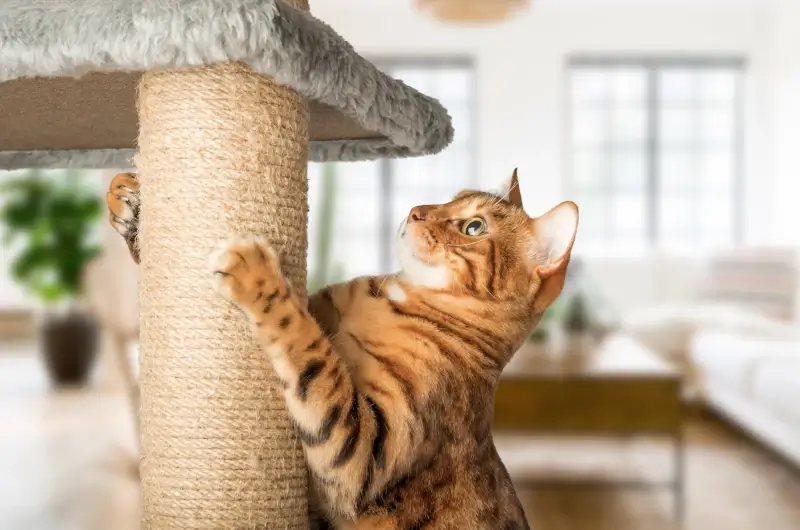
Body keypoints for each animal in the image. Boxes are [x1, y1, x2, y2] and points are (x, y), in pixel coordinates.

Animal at [109, 169, 580, 528]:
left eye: (474, 227)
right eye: (451, 199)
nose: (416, 210)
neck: (394, 299)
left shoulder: (363, 450)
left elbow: (307, 345)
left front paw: (257, 273)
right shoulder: (322, 307)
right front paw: (131, 203)